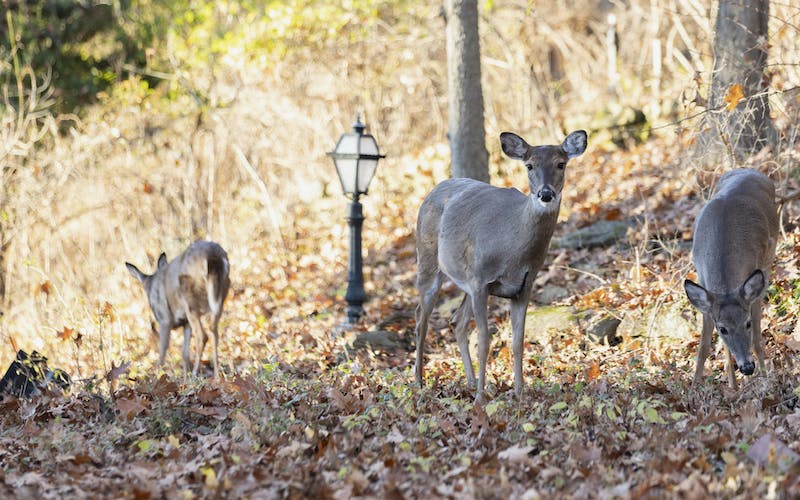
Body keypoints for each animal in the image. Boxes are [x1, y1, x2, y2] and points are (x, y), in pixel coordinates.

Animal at [126, 240, 231, 376]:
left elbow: (163, 349)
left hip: (189, 297)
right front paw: (185, 374)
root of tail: (212, 256)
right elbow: (184, 353)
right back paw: (216, 375)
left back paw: (196, 374)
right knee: (214, 332)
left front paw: (158, 374)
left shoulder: (164, 319)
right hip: (222, 291)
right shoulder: (185, 322)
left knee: (202, 336)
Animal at [412, 131, 588, 400]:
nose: (545, 194)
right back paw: (420, 383)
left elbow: (518, 341)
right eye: (529, 165)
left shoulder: (524, 286)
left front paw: (519, 394)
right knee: (421, 321)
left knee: (457, 321)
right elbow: (484, 341)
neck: (513, 251)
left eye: (561, 164)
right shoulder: (480, 281)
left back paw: (470, 381)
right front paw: (481, 399)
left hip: (465, 279)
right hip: (428, 259)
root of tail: (433, 189)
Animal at [684, 170, 780, 388]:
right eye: (723, 329)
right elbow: (704, 346)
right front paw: (695, 386)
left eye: (747, 323)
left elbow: (757, 338)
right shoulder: (706, 291)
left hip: (768, 260)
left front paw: (765, 380)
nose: (748, 367)